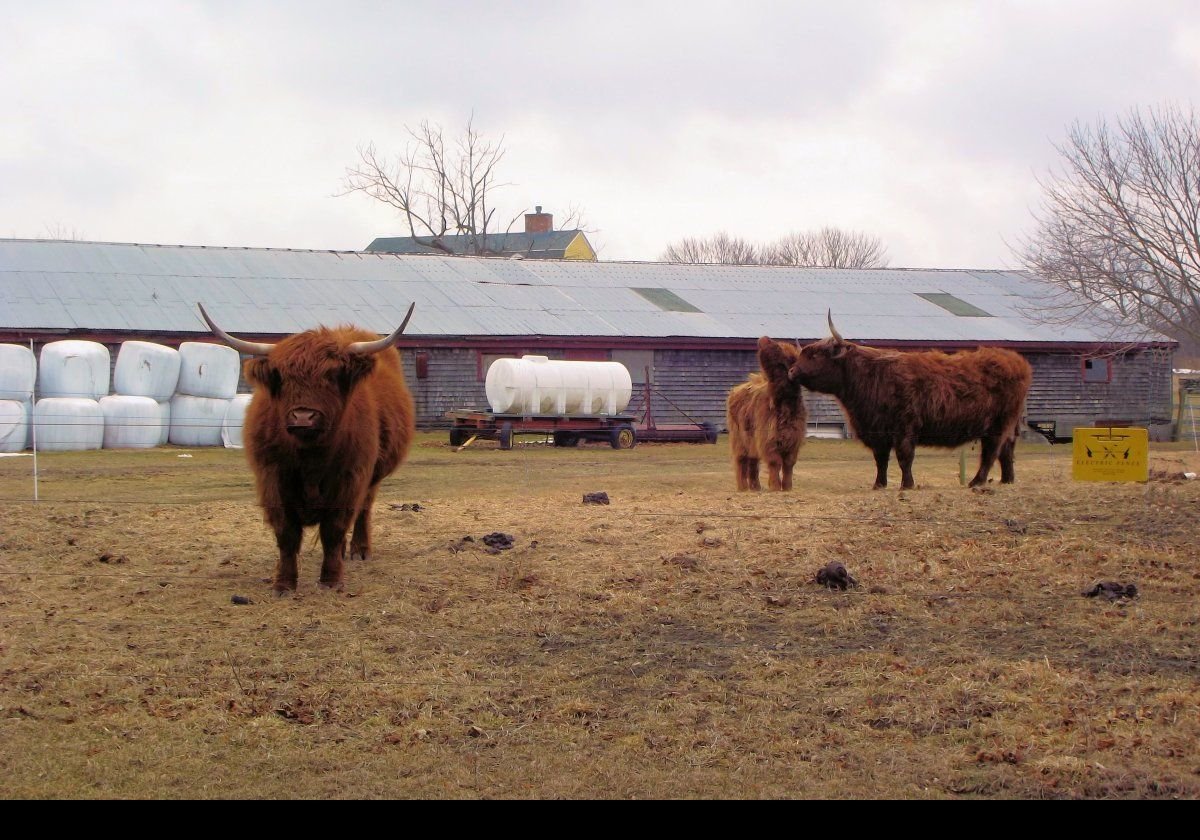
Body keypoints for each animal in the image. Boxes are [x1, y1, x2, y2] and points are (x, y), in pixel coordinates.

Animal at [724, 336, 811, 492]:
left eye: (784, 358)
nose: (763, 339)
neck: (784, 404)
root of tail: (735, 390)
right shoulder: (768, 441)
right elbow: (775, 462)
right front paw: (775, 486)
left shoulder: (794, 440)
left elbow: (789, 464)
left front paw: (787, 487)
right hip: (739, 440)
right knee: (741, 462)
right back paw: (742, 487)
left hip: (752, 443)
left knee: (753, 463)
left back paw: (755, 487)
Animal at [787, 312, 1032, 489]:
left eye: (815, 355)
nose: (791, 371)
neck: (870, 377)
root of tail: (1015, 361)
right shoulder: (877, 430)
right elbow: (881, 459)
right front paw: (879, 484)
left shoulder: (904, 427)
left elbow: (904, 456)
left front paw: (907, 484)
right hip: (1008, 425)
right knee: (1007, 450)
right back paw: (1007, 480)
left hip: (998, 424)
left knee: (991, 452)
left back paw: (976, 482)